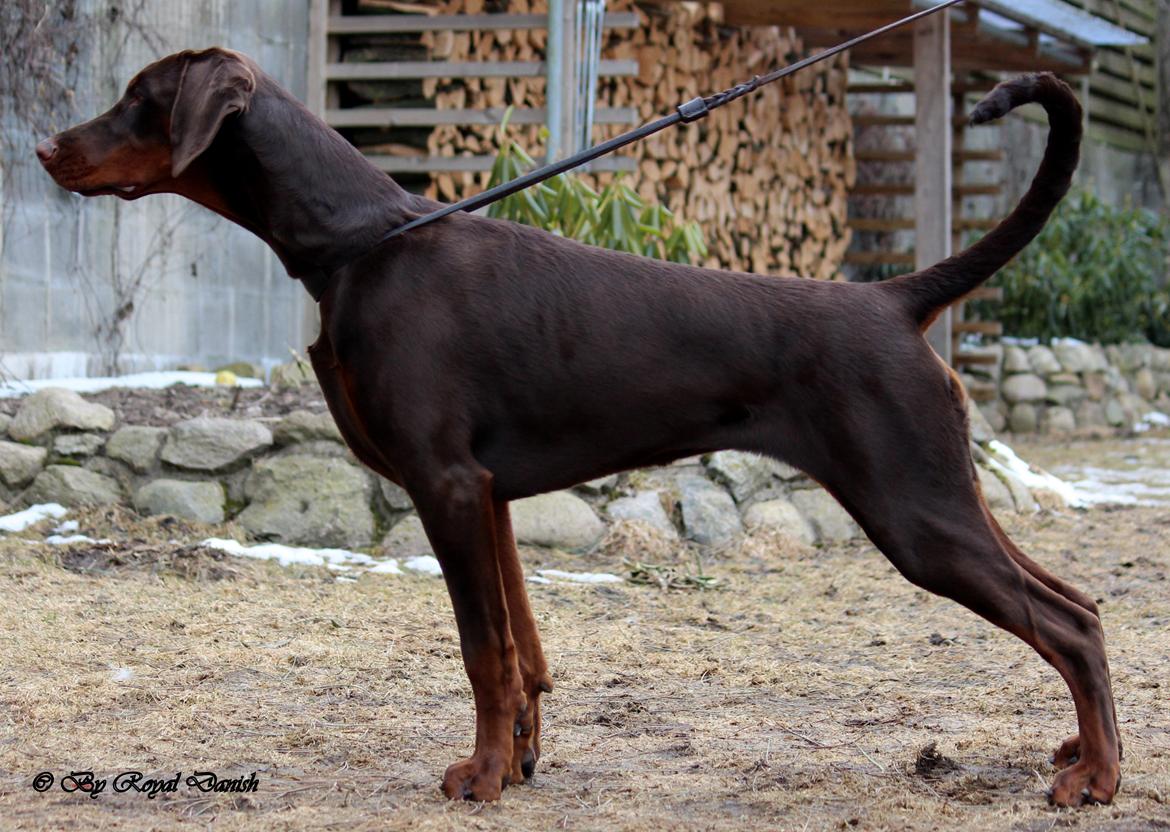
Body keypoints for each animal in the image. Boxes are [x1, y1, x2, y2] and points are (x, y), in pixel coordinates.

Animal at [32, 47, 1118, 805]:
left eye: (140, 95)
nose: (45, 146)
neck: (359, 241)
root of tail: (895, 299)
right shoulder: (492, 498)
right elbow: (521, 650)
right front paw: (516, 760)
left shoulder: (446, 484)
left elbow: (480, 648)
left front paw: (477, 779)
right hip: (943, 490)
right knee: (1078, 602)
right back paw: (1080, 749)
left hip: (912, 506)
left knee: (1067, 621)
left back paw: (1095, 779)